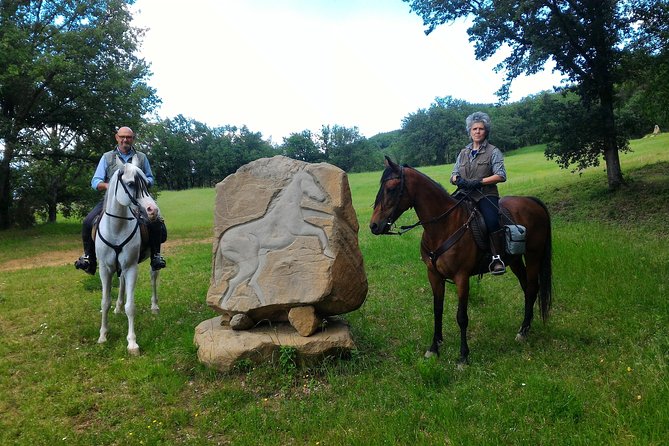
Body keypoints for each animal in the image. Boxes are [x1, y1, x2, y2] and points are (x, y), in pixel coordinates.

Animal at [96, 159, 161, 356]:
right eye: (131, 184)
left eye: (147, 184)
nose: (153, 211)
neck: (116, 228)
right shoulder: (105, 269)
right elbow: (105, 302)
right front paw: (103, 336)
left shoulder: (131, 267)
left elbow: (130, 306)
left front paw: (132, 343)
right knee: (121, 282)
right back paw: (117, 307)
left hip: (152, 262)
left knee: (153, 278)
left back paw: (154, 306)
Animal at [219, 171, 334, 306]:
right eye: (311, 181)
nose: (323, 198)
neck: (288, 207)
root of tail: (221, 242)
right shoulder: (299, 229)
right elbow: (320, 230)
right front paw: (329, 253)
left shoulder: (304, 216)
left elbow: (320, 214)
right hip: (250, 263)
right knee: (233, 282)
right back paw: (226, 305)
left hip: (261, 259)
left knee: (251, 281)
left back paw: (264, 304)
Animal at [368, 158, 552, 366]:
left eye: (391, 189)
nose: (374, 225)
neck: (444, 225)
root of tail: (531, 200)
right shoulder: (434, 276)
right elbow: (437, 310)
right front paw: (434, 348)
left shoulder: (461, 278)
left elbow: (462, 317)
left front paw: (463, 356)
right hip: (514, 260)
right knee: (527, 288)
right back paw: (525, 328)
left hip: (533, 255)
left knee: (532, 288)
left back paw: (523, 331)